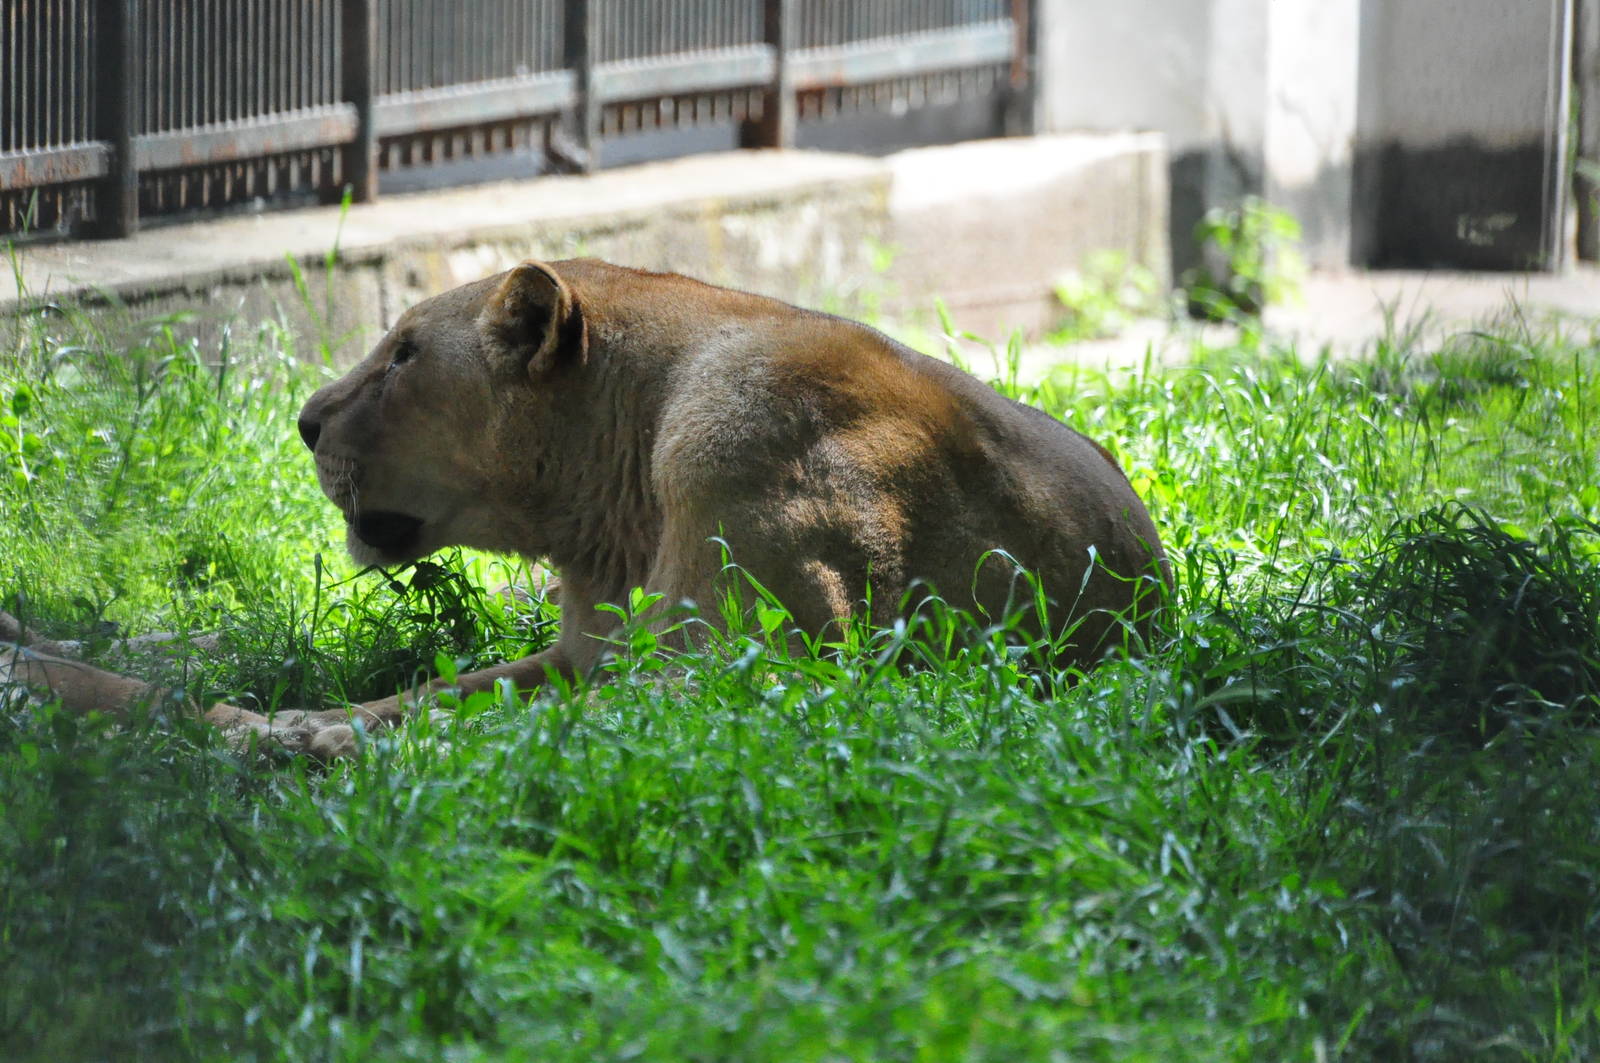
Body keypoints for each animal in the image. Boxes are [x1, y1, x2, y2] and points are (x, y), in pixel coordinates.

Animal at [1, 259, 1168, 758]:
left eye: (405, 353)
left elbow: (479, 732)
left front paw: (284, 734)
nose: (303, 420)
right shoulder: (578, 653)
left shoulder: (744, 674)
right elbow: (437, 691)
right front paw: (306, 717)